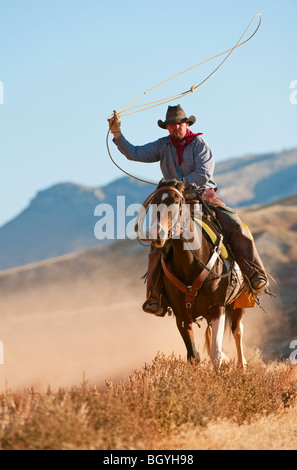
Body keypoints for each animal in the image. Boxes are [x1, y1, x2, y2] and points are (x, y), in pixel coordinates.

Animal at [147, 178, 246, 370]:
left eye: (176, 202)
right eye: (153, 202)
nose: (157, 234)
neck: (191, 263)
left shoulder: (217, 308)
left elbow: (215, 354)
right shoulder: (181, 316)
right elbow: (193, 356)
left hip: (238, 302)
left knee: (238, 331)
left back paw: (242, 366)